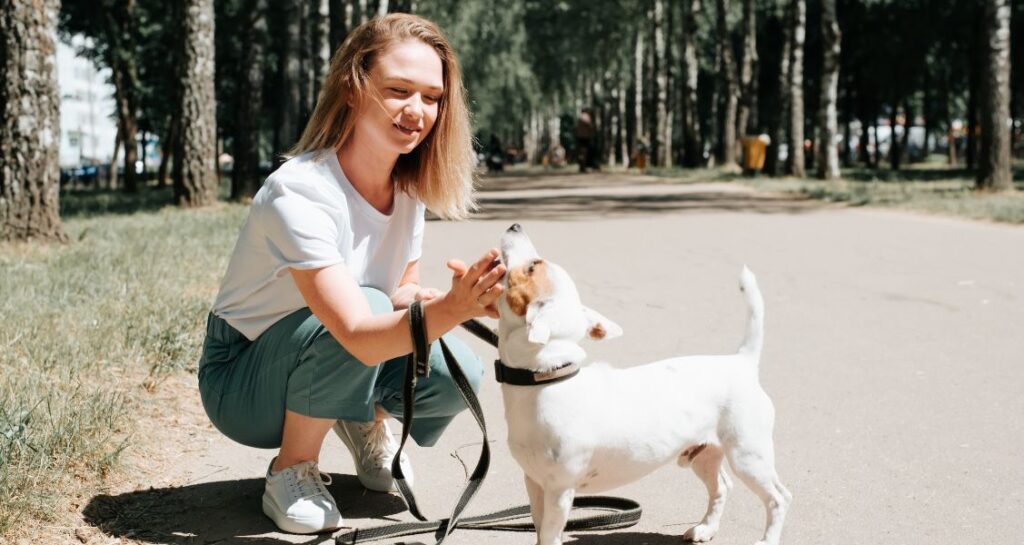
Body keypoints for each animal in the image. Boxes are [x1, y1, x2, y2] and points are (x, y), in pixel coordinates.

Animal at [495, 222, 790, 545]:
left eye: (533, 267)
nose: (515, 225)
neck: (546, 379)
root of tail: (741, 362)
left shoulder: (559, 491)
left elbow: (549, 535)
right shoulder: (534, 483)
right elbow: (539, 529)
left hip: (748, 456)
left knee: (779, 497)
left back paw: (768, 539)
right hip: (704, 455)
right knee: (722, 486)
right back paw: (705, 528)